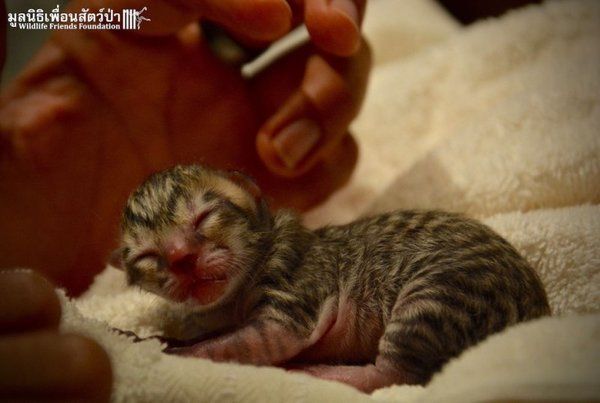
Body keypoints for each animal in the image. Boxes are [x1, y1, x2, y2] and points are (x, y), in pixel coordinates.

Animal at [111, 164, 548, 392]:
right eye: (149, 257)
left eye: (204, 217)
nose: (181, 257)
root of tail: (537, 314)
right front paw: (151, 335)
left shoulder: (293, 291)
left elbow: (245, 342)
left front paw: (157, 347)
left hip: (439, 293)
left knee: (396, 375)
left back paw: (320, 372)